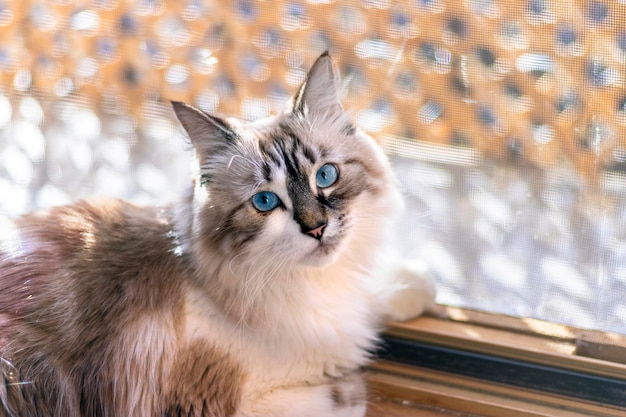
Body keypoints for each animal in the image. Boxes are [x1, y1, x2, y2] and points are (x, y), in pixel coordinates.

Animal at [0, 52, 434, 416]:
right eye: (265, 201)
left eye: (326, 176)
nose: (316, 228)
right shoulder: (225, 403)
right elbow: (348, 396)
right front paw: (353, 383)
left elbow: (381, 299)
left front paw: (414, 287)